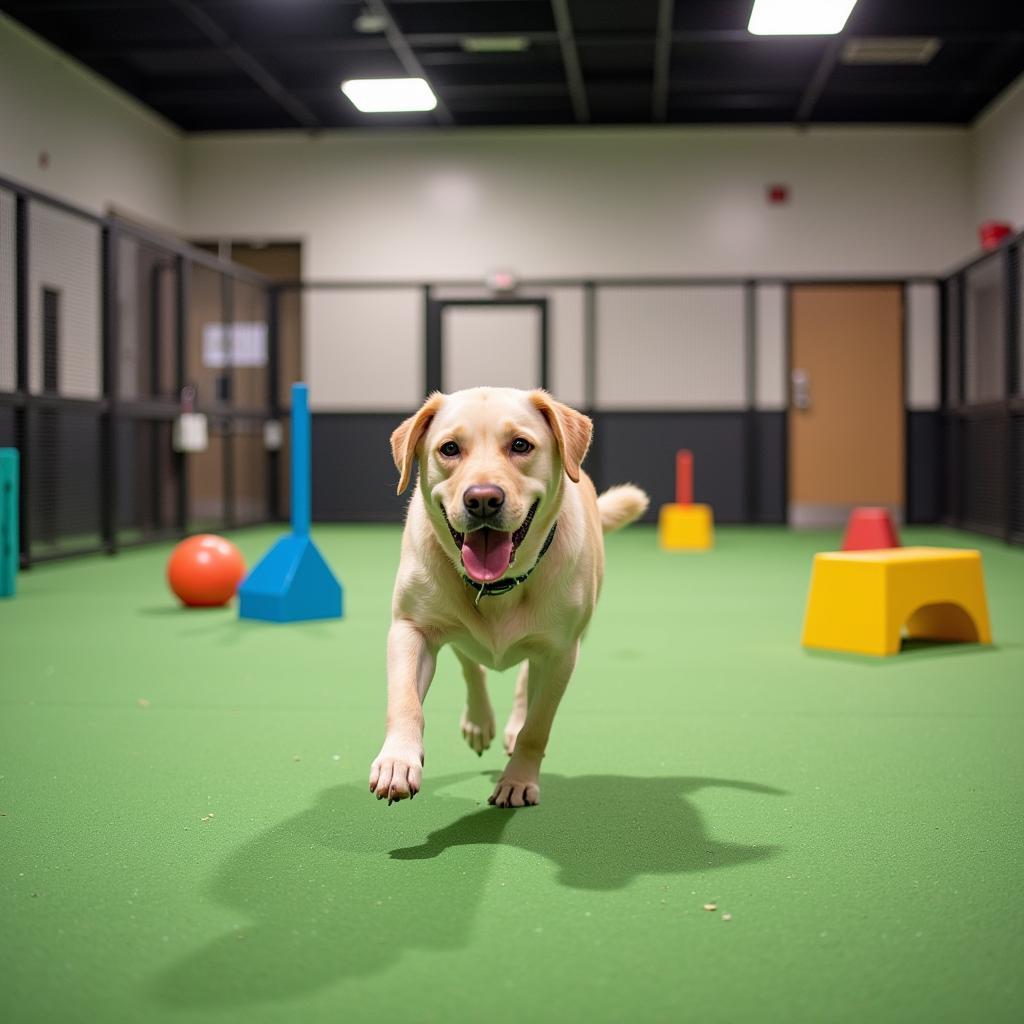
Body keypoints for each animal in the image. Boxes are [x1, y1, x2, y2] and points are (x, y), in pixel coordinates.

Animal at [370, 385, 647, 806]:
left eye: (520, 445)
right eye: (449, 449)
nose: (483, 499)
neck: (498, 585)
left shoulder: (561, 653)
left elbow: (537, 725)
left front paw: (518, 779)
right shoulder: (409, 628)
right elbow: (405, 702)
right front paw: (397, 760)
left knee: (524, 685)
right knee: (470, 663)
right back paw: (478, 720)